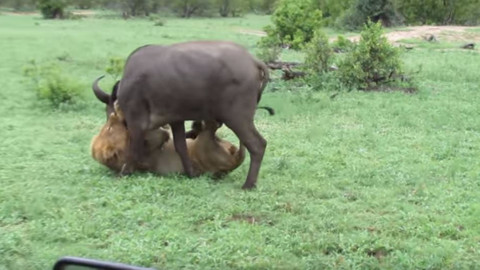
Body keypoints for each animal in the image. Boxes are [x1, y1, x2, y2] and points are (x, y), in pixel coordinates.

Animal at [91, 41, 270, 189]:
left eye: (110, 118)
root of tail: (254, 61)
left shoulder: (136, 122)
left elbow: (134, 149)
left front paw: (124, 173)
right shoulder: (176, 121)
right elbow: (181, 147)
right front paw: (191, 173)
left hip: (237, 119)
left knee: (257, 145)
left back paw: (248, 184)